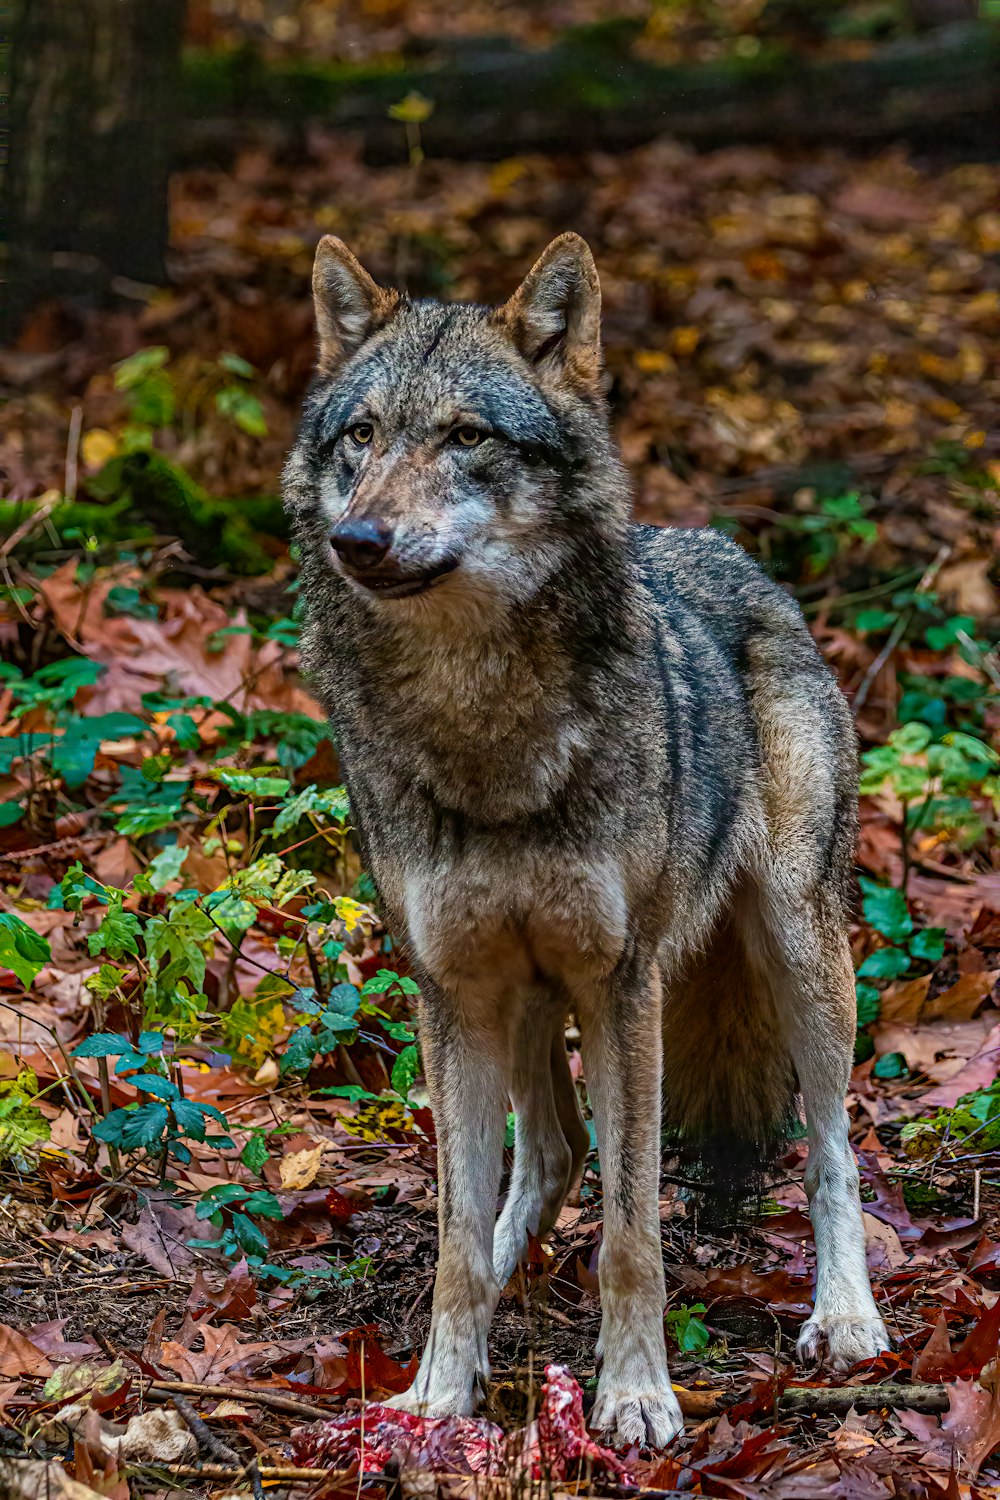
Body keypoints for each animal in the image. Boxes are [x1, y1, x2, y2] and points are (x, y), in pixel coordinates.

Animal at [283, 231, 893, 1440]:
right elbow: (456, 1241)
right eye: (360, 436)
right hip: (526, 998)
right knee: (551, 1159)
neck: (483, 725)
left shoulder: (623, 985)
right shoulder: (453, 989)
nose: (356, 538)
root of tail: (729, 552)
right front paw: (437, 1393)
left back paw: (845, 1319)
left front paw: (638, 1397)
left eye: (466, 436)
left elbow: (632, 1238)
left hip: (798, 955)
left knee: (832, 1151)